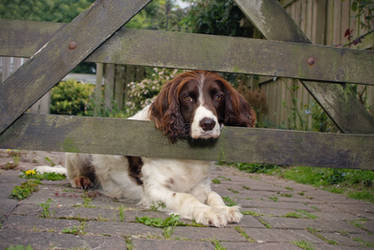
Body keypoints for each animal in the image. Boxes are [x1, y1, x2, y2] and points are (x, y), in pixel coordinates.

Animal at [54, 70, 256, 227]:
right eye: (187, 97)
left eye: (218, 96)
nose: (208, 124)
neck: (188, 152)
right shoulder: (153, 190)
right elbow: (184, 197)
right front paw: (209, 213)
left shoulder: (201, 185)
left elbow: (214, 195)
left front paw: (225, 209)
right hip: (79, 151)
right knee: (71, 173)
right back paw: (81, 180)